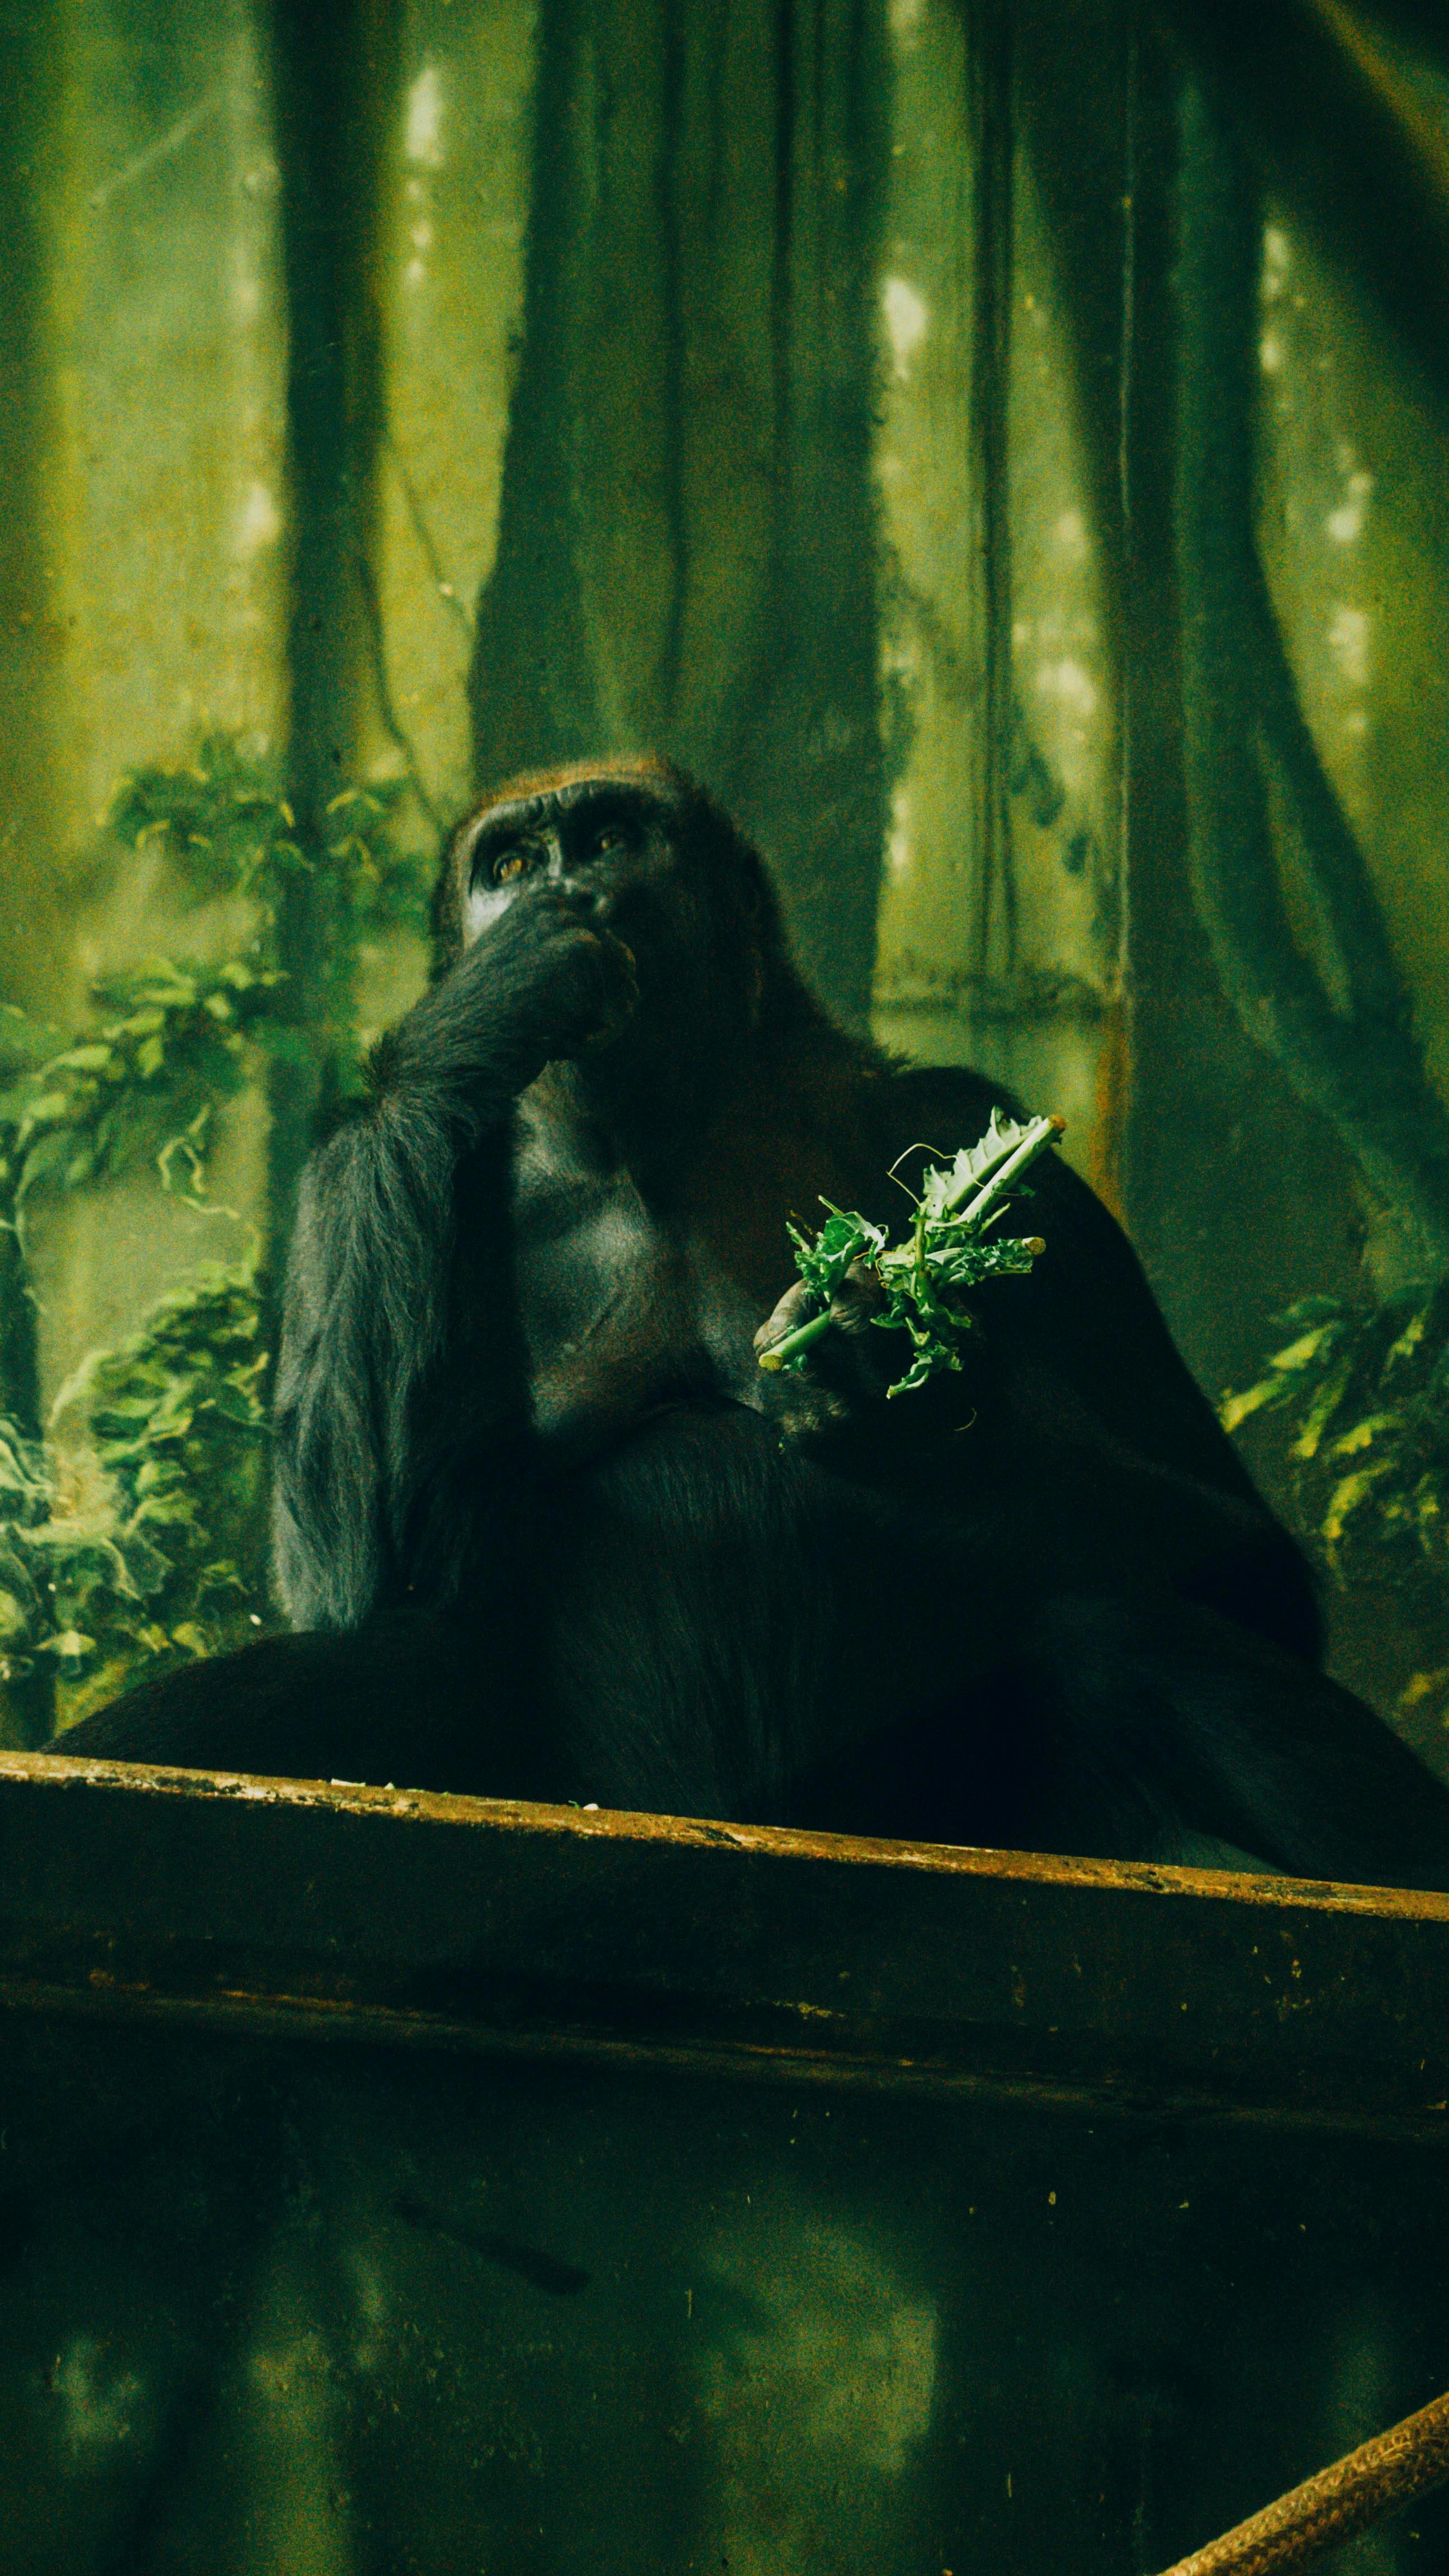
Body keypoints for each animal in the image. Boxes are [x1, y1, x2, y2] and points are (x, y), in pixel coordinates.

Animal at [60, 758, 1449, 1889]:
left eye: (608, 838)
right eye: (508, 867)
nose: (566, 890)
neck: (663, 1124)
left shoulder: (985, 1133)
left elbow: (1246, 1562)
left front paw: (911, 1401)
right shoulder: (368, 1176)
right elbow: (360, 1579)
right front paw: (490, 1001)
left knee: (1140, 1632)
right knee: (310, 1683)